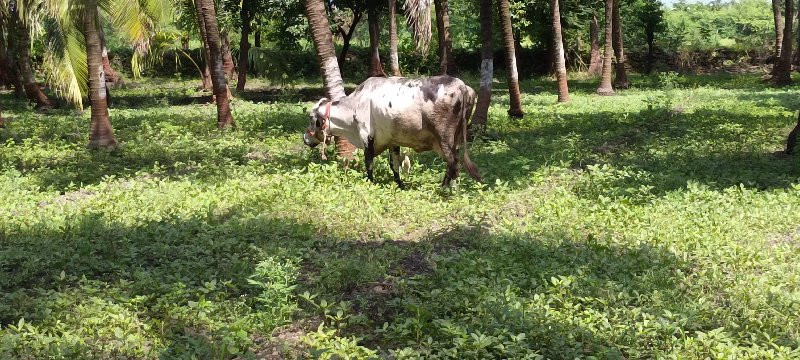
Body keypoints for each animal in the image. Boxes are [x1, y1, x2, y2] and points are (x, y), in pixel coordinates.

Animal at [304, 76, 482, 188]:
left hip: (445, 139)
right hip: (455, 139)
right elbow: (394, 165)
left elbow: (369, 162)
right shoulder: (393, 141)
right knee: (453, 164)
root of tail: (462, 86)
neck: (354, 105)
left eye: (312, 120)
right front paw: (400, 184)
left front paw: (370, 182)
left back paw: (444, 189)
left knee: (453, 163)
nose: (305, 139)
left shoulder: (366, 136)